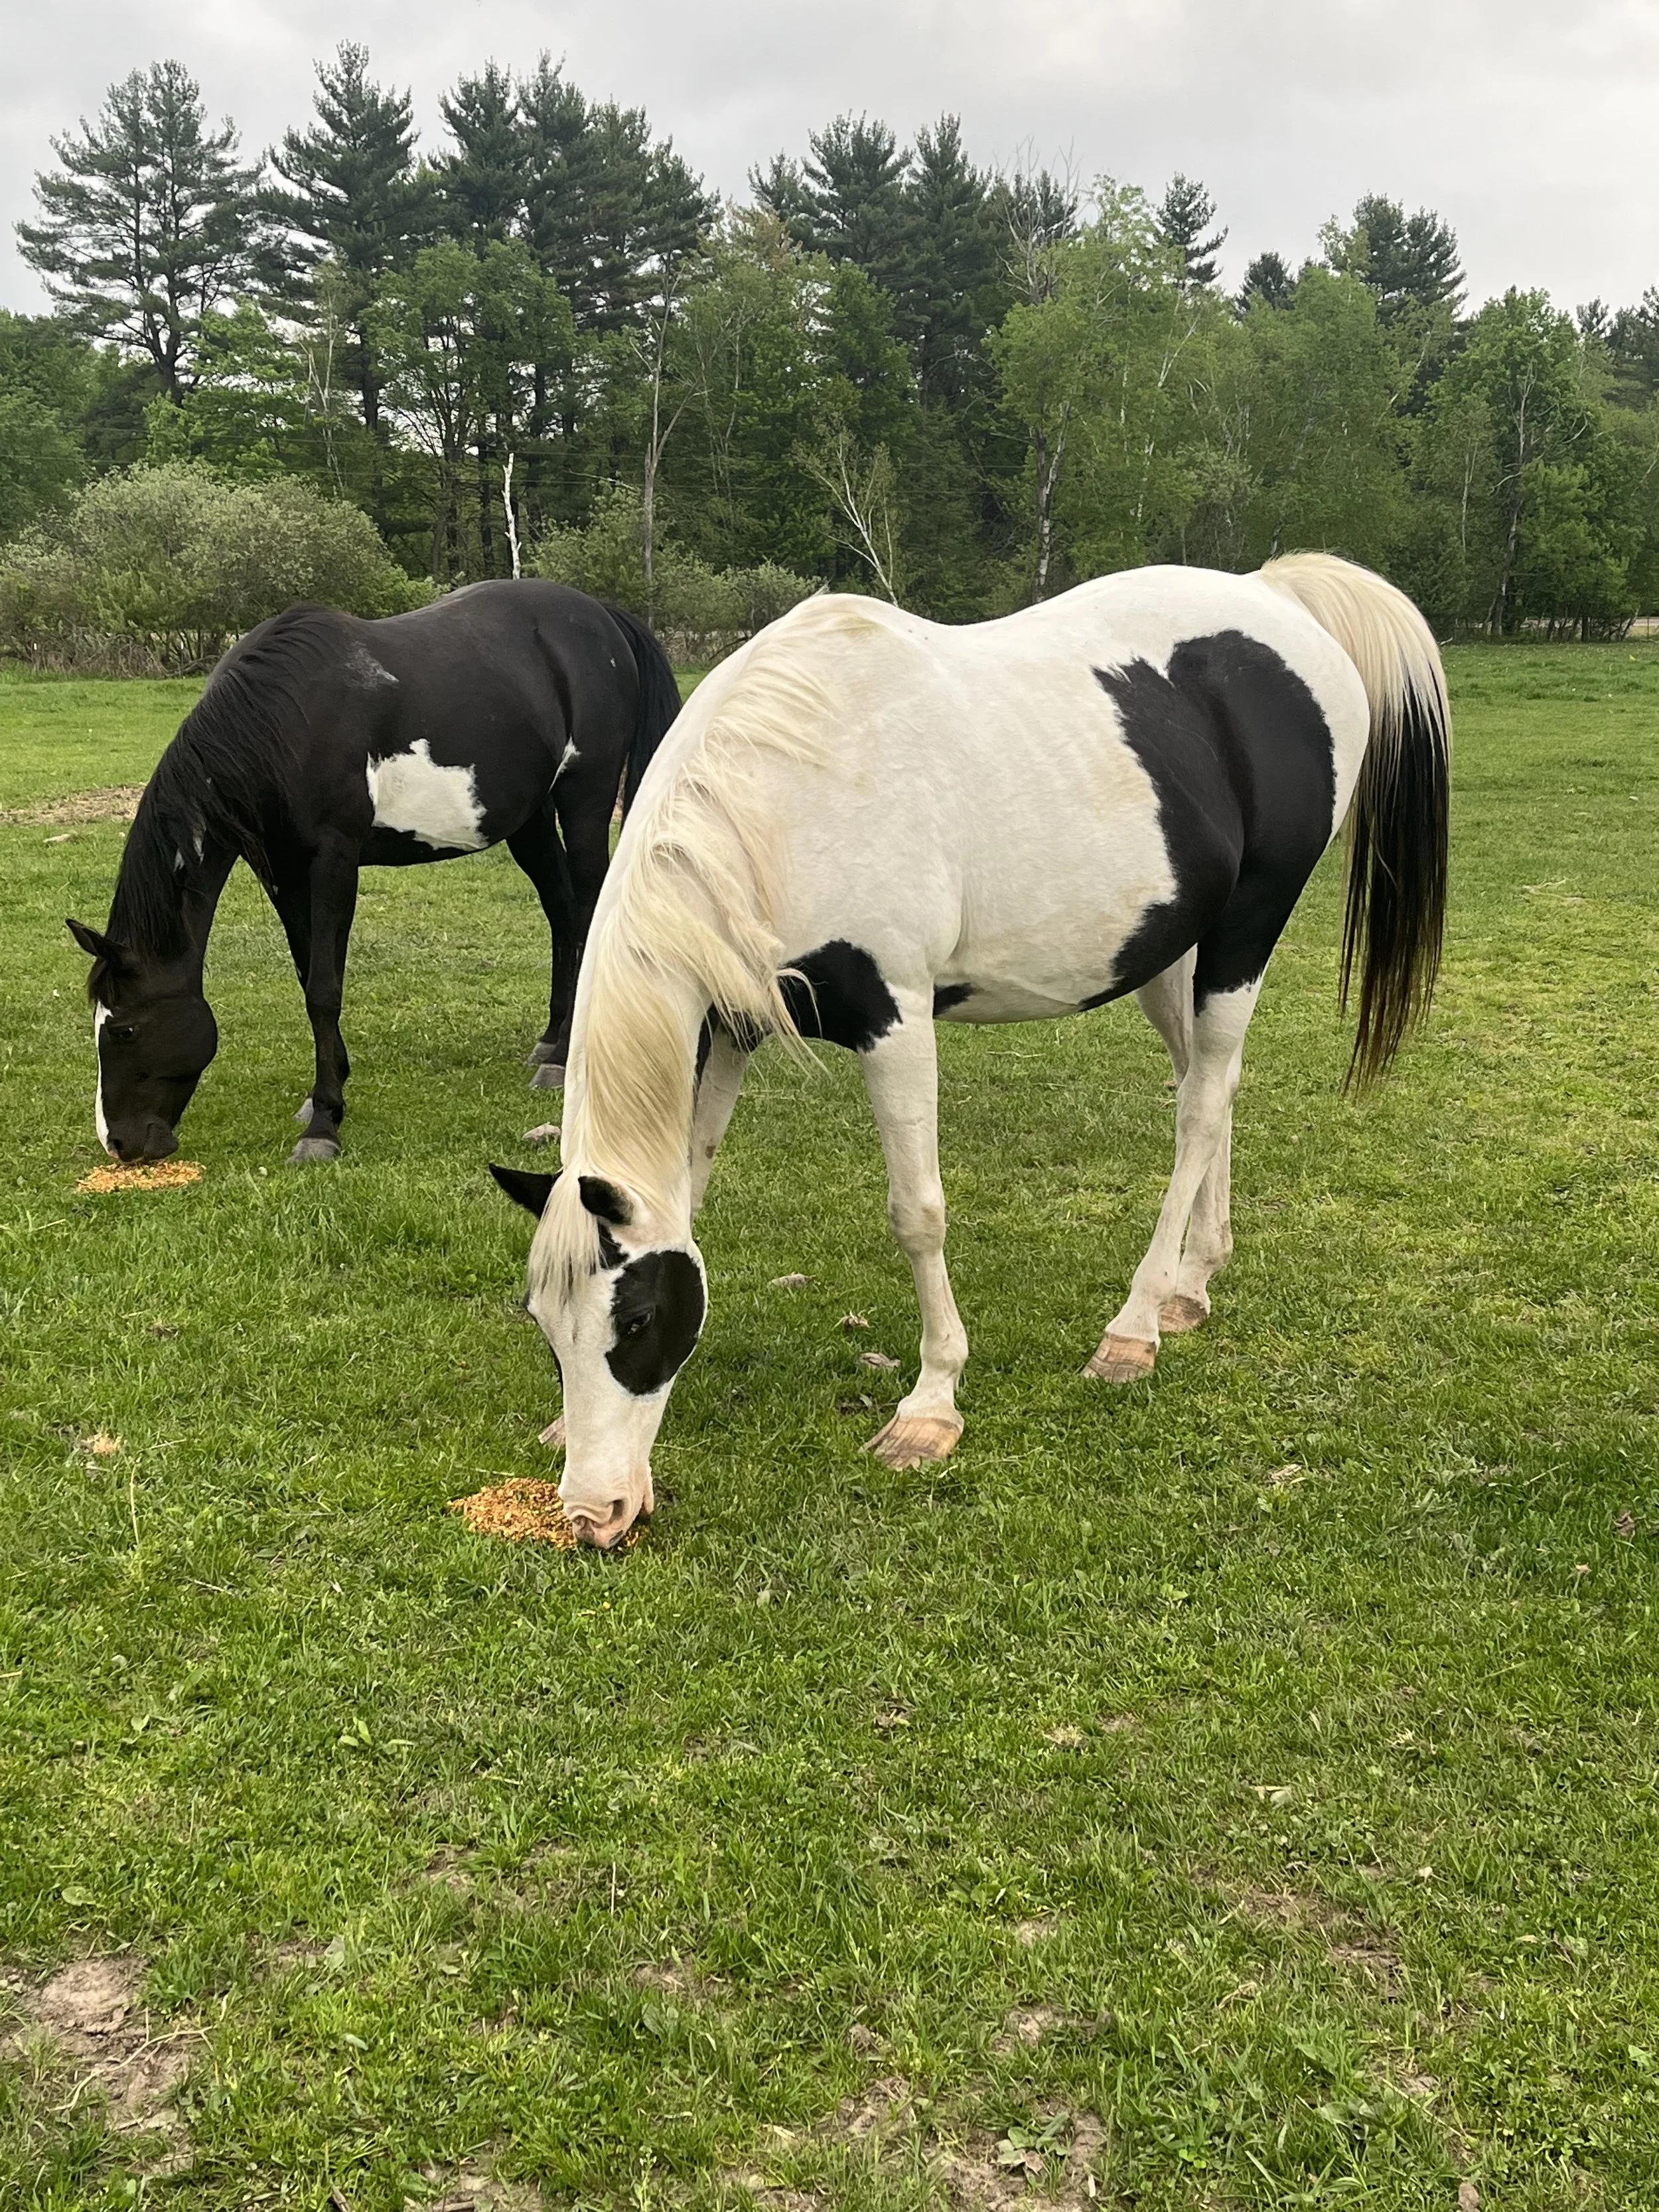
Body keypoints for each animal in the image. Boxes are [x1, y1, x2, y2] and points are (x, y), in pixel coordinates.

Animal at [67, 579, 680, 1165]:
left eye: (124, 1028)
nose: (119, 1142)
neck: (283, 721)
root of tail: (602, 616)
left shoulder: (335, 861)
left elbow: (323, 988)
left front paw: (322, 1126)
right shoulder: (285, 873)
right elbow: (307, 974)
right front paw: (325, 1093)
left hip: (584, 801)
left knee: (587, 910)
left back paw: (568, 1056)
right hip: (529, 820)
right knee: (562, 913)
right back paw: (552, 1045)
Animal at [488, 553, 1450, 1549]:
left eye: (638, 1318)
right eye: (542, 1320)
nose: (594, 1512)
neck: (787, 796)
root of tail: (1276, 594)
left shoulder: (895, 1017)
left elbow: (917, 1213)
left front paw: (931, 1404)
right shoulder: (730, 1027)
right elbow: (692, 1188)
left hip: (1246, 930)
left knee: (1200, 1107)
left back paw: (1135, 1326)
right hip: (1169, 950)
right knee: (1210, 1087)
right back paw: (1193, 1281)